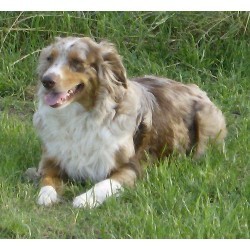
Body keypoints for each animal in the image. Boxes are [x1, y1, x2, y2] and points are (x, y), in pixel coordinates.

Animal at [33, 37, 227, 208]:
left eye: (77, 61)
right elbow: (47, 180)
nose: (46, 81)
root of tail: (193, 87)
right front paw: (46, 195)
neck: (78, 117)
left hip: (206, 121)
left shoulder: (132, 167)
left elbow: (104, 183)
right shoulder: (51, 160)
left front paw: (85, 199)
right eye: (50, 59)